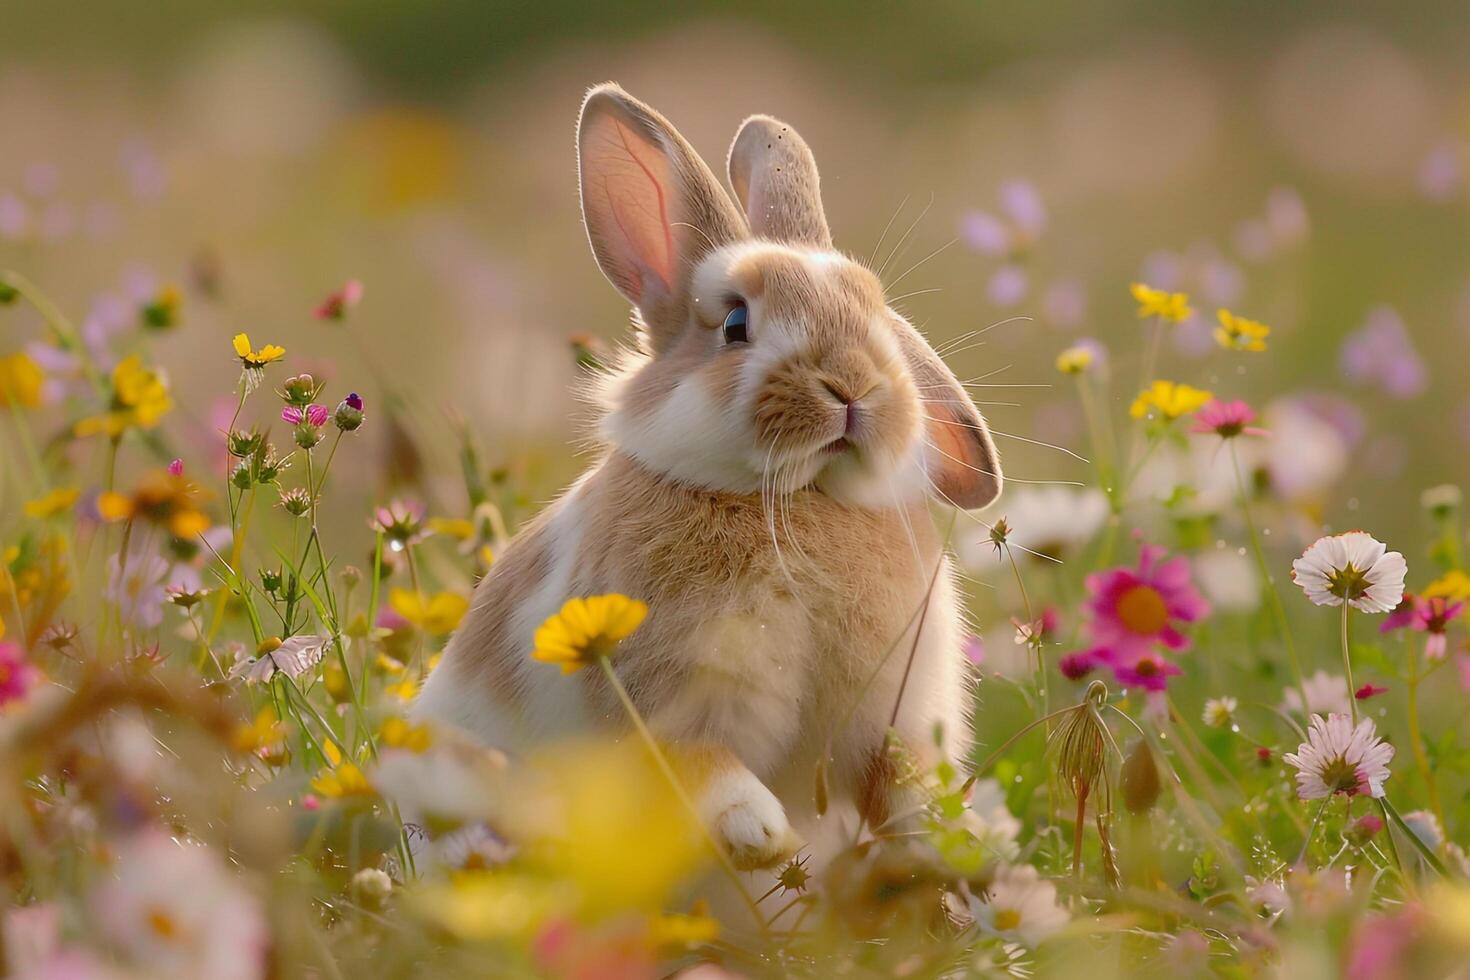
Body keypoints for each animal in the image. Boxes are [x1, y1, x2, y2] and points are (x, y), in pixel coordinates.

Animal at [413, 82, 1002, 873]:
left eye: (875, 312)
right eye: (734, 324)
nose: (853, 385)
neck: (792, 500)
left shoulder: (892, 720)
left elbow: (902, 785)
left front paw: (961, 846)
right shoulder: (656, 699)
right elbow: (697, 761)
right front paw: (760, 834)